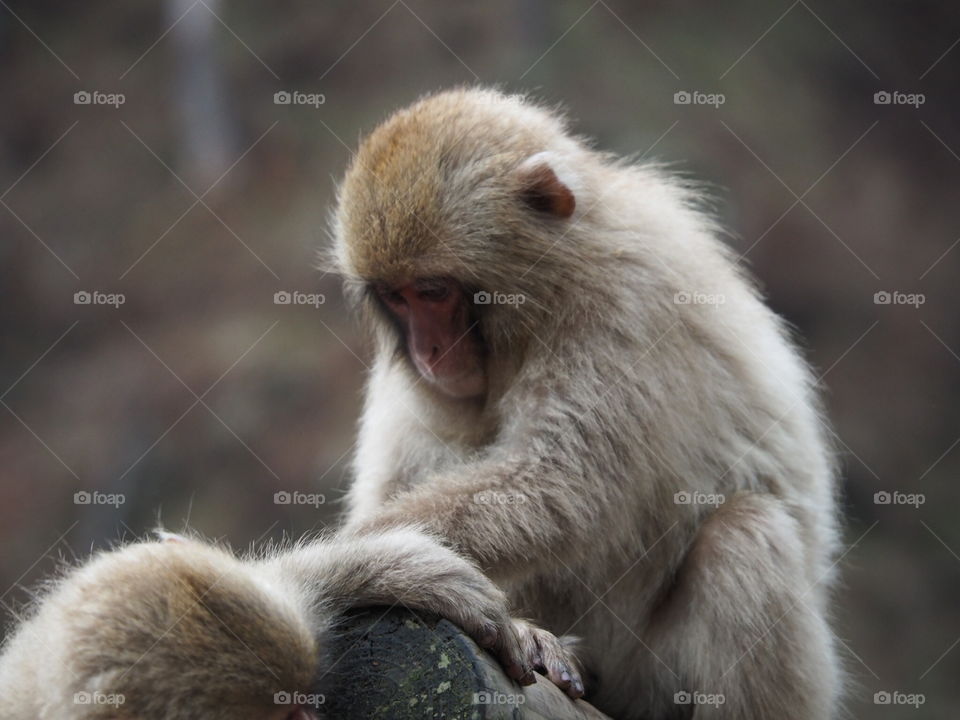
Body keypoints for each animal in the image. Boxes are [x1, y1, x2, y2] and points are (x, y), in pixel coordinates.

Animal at [331, 87, 842, 719]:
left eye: (432, 291)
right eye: (396, 298)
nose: (428, 350)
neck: (555, 281)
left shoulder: (624, 300)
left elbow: (563, 488)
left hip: (657, 680)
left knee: (743, 535)